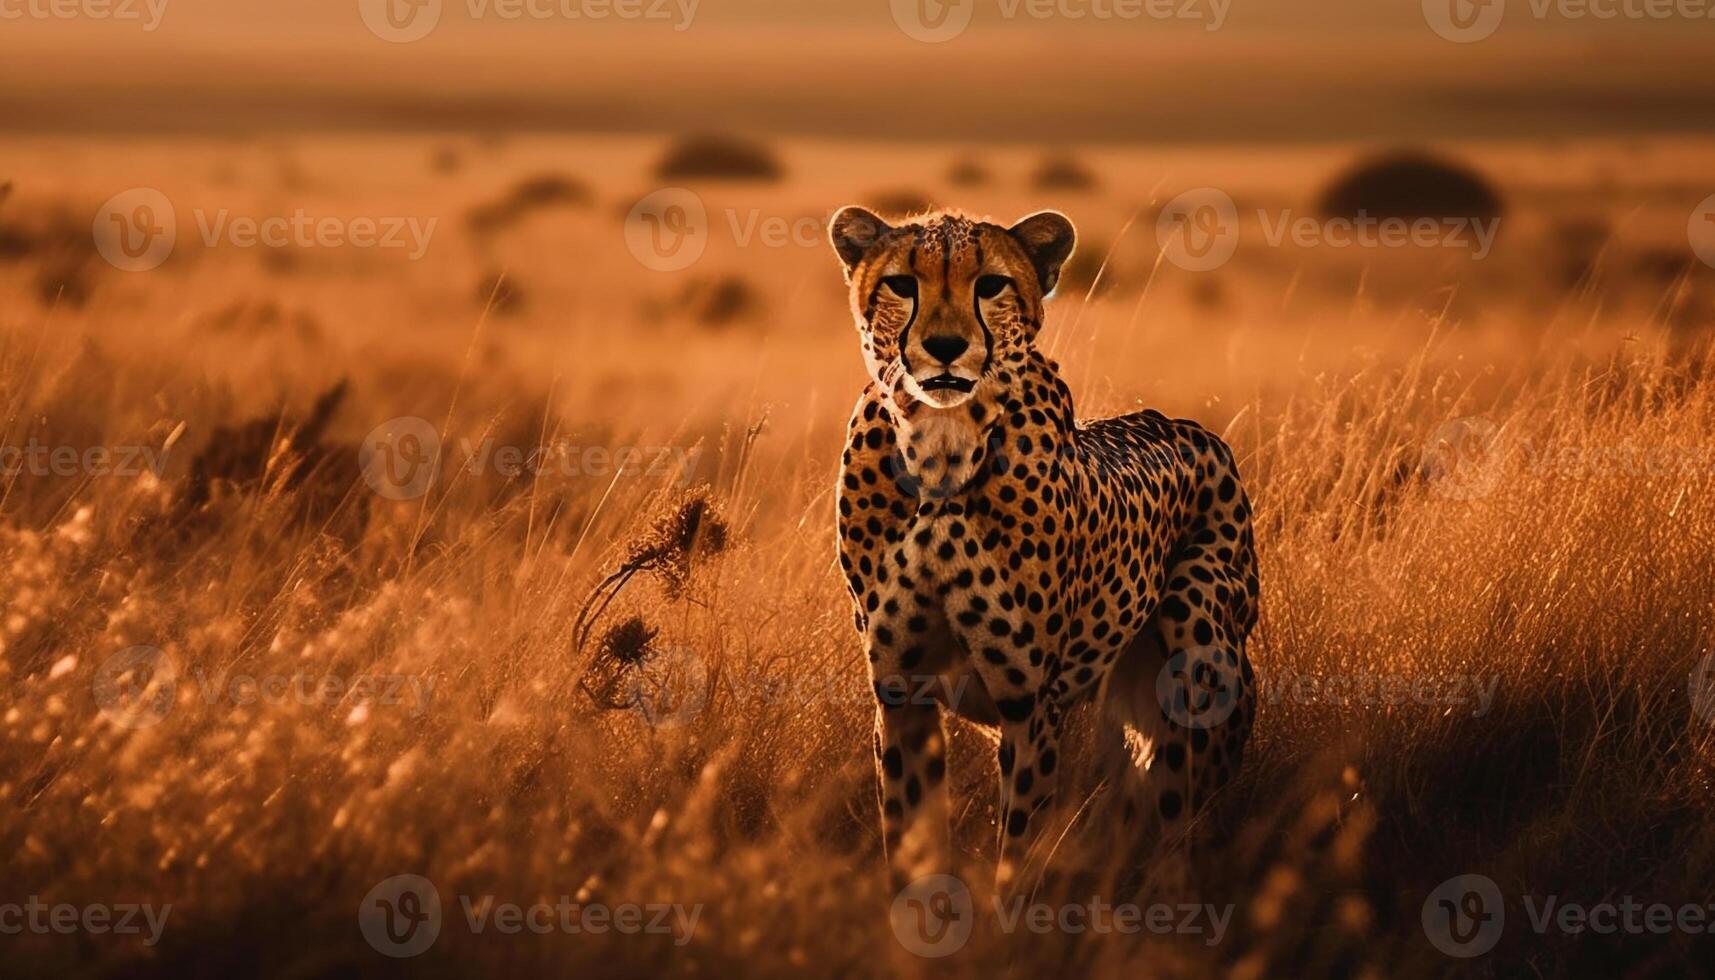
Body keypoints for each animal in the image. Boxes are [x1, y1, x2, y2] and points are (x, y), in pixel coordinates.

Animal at [830, 206, 1262, 899]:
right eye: (901, 284)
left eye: (990, 285)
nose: (945, 347)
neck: (943, 447)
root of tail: (1192, 428)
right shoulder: (902, 696)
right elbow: (912, 846)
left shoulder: (1029, 705)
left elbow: (1020, 850)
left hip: (1199, 652)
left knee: (1179, 821)